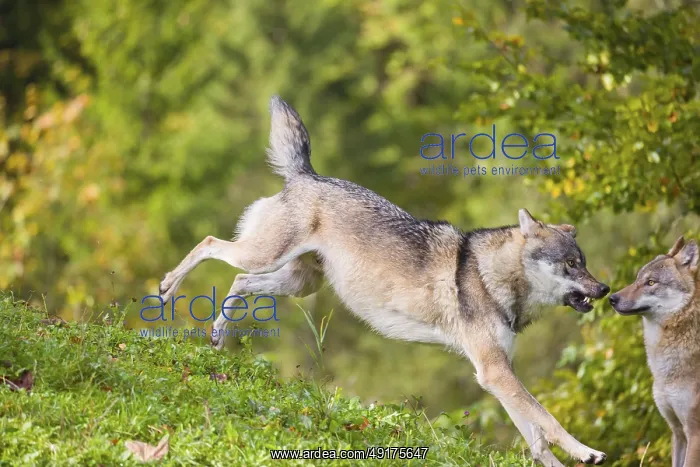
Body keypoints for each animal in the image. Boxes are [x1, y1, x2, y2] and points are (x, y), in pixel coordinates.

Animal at [159, 96, 610, 466]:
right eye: (571, 264)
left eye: (584, 264)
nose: (605, 290)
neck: (491, 277)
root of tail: (308, 175)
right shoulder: (495, 372)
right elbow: (549, 419)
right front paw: (587, 451)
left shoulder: (497, 374)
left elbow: (537, 438)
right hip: (264, 256)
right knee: (209, 244)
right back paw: (166, 290)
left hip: (298, 283)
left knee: (238, 282)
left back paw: (218, 335)